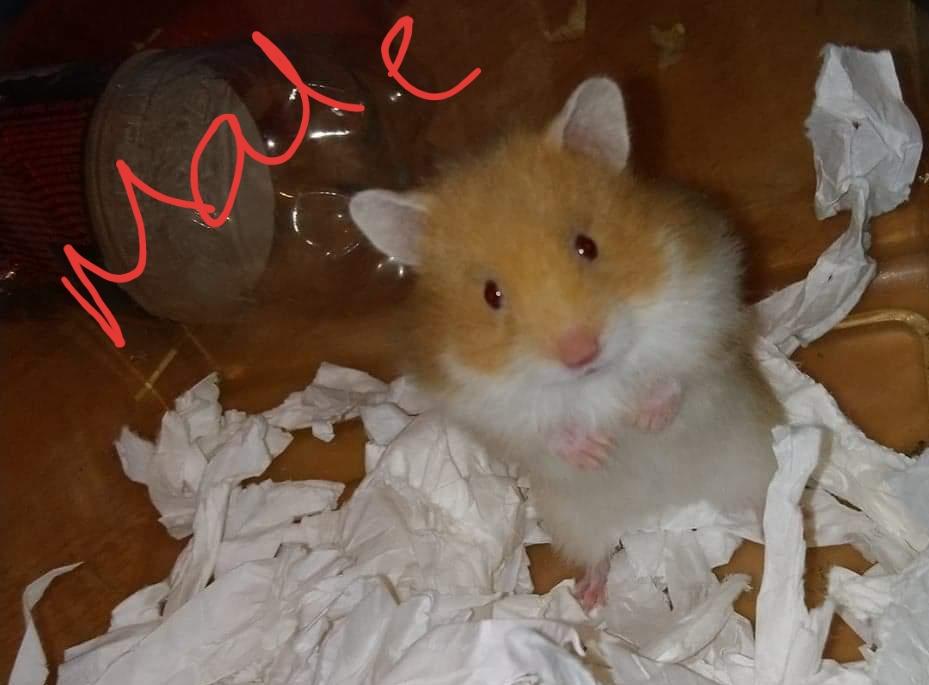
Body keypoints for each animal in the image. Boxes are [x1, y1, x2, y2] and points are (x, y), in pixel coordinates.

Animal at [349, 77, 783, 610]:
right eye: (492, 295)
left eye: (587, 246)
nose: (581, 353)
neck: (596, 380)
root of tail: (663, 504)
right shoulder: (487, 405)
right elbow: (546, 426)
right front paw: (596, 450)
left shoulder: (704, 310)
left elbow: (677, 377)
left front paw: (644, 420)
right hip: (572, 520)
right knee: (598, 553)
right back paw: (587, 599)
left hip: (752, 458)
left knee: (766, 499)